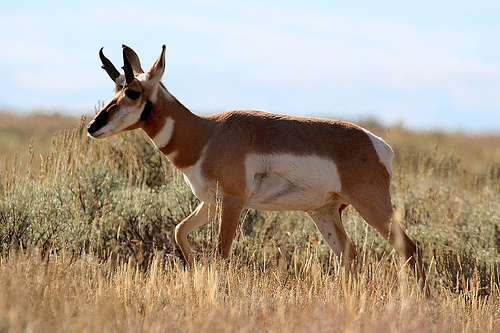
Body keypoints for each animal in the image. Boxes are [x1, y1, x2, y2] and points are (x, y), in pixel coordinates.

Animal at [86, 44, 426, 290]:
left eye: (133, 91)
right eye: (116, 87)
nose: (92, 126)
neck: (207, 133)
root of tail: (377, 145)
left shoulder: (233, 202)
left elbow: (221, 253)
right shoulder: (210, 203)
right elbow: (180, 231)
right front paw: (194, 272)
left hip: (371, 206)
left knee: (410, 250)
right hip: (324, 213)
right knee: (350, 256)